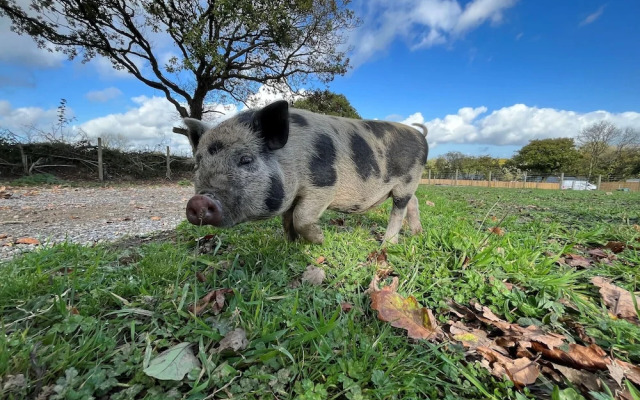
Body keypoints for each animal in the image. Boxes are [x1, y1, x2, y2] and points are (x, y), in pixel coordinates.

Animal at [182, 100, 428, 244]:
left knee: (399, 210)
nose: (199, 200)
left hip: (408, 180)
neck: (292, 160)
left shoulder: (324, 185)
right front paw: (290, 243)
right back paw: (416, 233)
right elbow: (287, 219)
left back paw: (388, 244)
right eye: (197, 163)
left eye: (245, 159)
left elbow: (301, 217)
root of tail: (421, 135)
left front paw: (319, 240)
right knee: (414, 202)